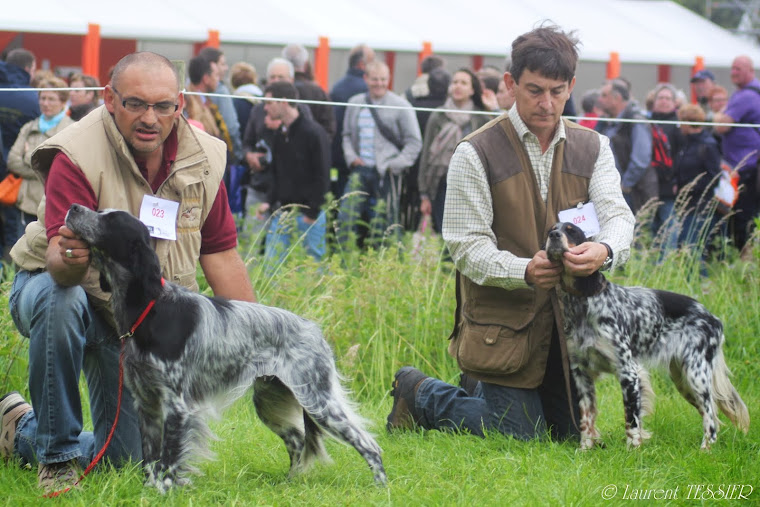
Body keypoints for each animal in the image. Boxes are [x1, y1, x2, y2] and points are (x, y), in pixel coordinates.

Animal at [64, 205, 386, 492]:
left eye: (111, 219)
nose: (73, 207)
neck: (151, 309)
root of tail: (315, 330)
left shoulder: (176, 406)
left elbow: (168, 461)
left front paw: (164, 492)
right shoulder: (147, 404)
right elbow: (149, 460)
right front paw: (148, 492)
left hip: (319, 401)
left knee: (369, 444)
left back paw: (381, 486)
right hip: (271, 400)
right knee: (297, 439)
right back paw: (290, 484)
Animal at [548, 224, 748, 450]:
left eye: (571, 231)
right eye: (551, 229)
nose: (553, 235)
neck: (582, 306)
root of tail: (714, 319)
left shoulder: (628, 372)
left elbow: (631, 418)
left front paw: (633, 448)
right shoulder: (581, 373)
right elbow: (586, 417)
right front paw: (585, 448)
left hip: (696, 375)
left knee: (710, 414)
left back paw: (705, 449)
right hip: (683, 379)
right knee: (712, 413)